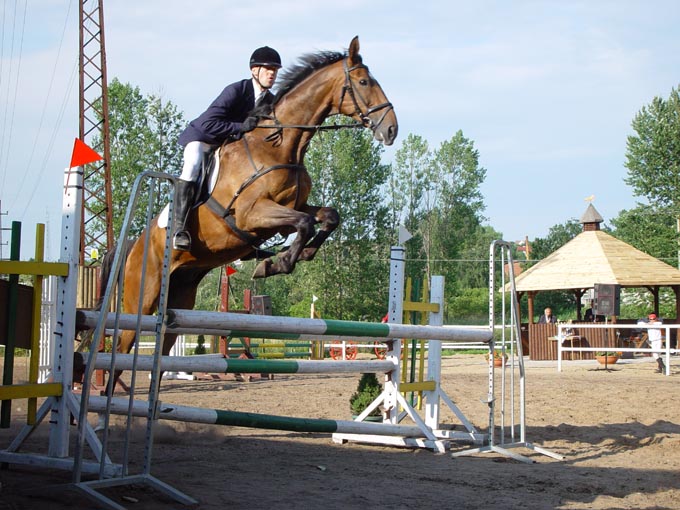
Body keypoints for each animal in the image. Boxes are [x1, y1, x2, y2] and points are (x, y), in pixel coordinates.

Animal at [97, 36, 398, 394]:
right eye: (364, 82)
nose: (391, 130)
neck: (280, 145)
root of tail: (133, 245)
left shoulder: (293, 205)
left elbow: (328, 217)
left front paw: (293, 255)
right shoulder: (251, 215)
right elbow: (304, 223)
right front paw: (276, 263)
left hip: (180, 296)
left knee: (164, 341)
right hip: (141, 297)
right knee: (122, 344)